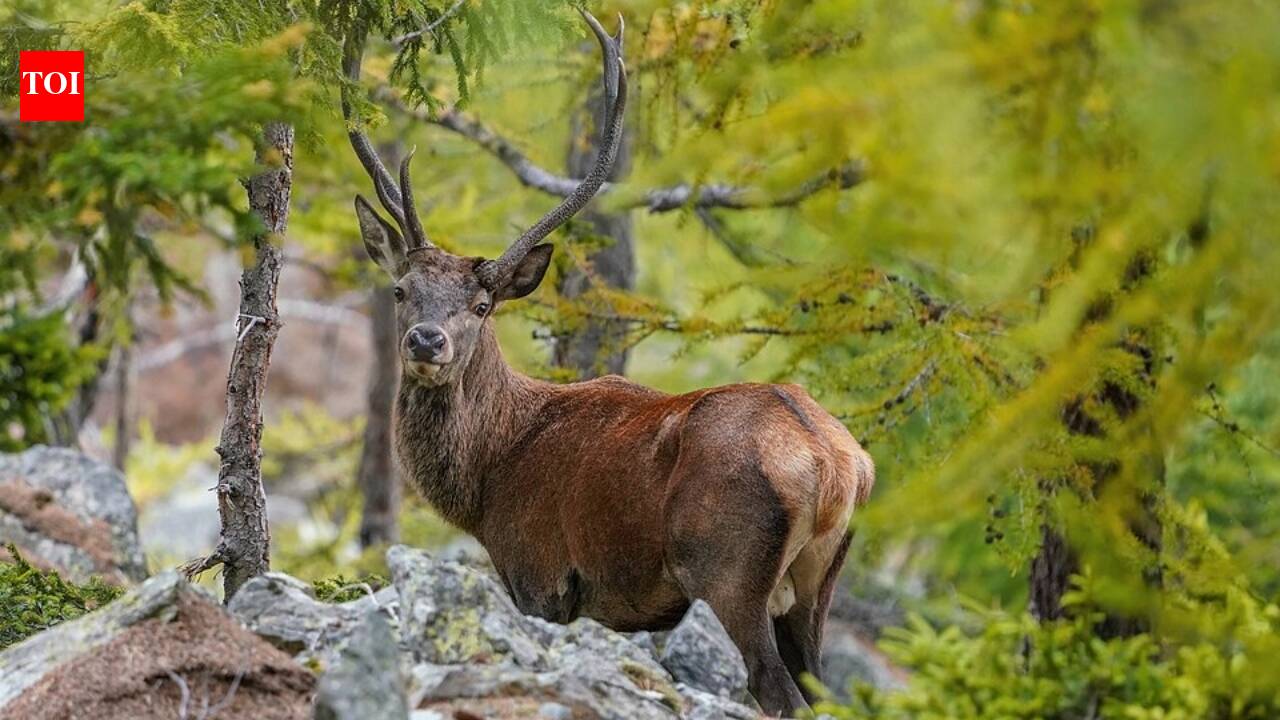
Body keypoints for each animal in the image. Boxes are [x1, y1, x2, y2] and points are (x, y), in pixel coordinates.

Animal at [342, 11, 874, 717]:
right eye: (401, 290)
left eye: (482, 305)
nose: (427, 342)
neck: (489, 478)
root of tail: (837, 464)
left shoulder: (539, 574)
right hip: (816, 589)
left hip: (728, 573)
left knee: (779, 691)